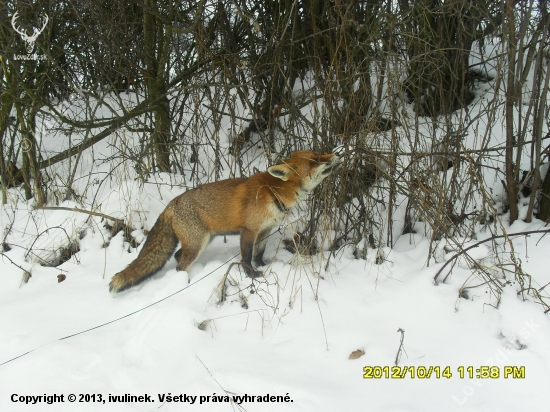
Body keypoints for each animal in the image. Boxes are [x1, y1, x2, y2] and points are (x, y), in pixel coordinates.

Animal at [109, 148, 342, 292]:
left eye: (319, 154)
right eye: (315, 160)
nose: (336, 153)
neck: (272, 192)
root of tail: (173, 203)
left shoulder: (265, 231)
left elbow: (259, 254)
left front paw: (264, 266)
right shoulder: (249, 230)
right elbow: (246, 257)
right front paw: (251, 275)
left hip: (201, 241)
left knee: (176, 256)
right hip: (198, 244)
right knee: (180, 265)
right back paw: (184, 283)